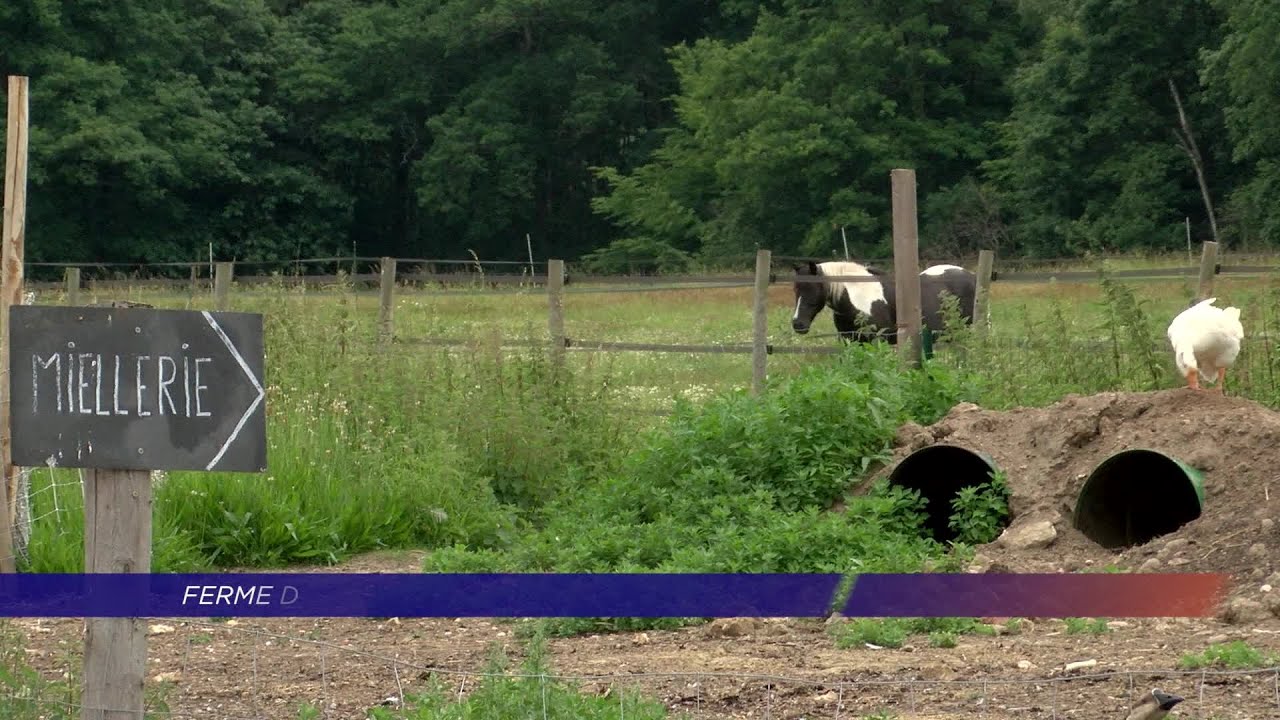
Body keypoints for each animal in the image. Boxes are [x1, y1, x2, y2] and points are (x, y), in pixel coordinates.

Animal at [788, 258, 977, 348]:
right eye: (796, 289)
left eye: (812, 288)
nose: (798, 324)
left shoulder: (879, 340)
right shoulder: (850, 341)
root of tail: (971, 275)